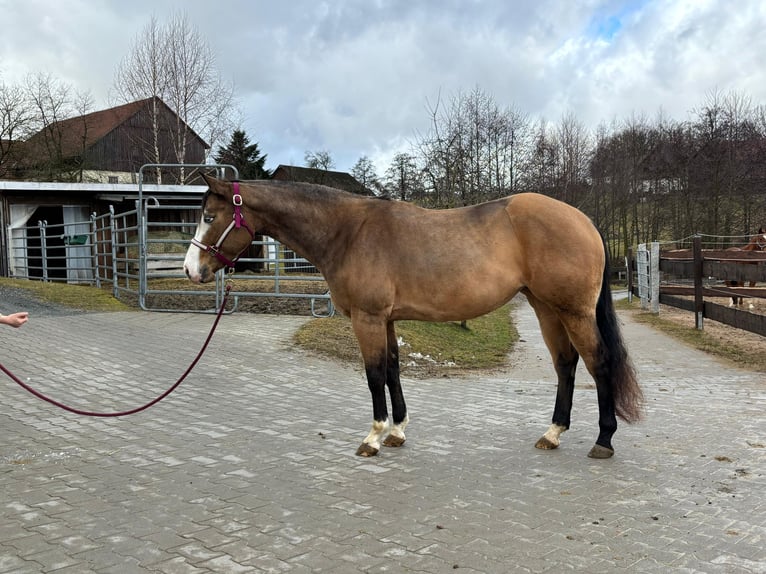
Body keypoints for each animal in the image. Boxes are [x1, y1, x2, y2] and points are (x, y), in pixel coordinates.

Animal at [184, 175, 643, 459]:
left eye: (209, 216)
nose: (191, 270)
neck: (348, 232)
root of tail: (583, 219)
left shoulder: (367, 318)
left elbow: (373, 375)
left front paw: (372, 437)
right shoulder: (385, 320)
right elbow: (392, 369)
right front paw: (397, 432)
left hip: (573, 311)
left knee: (599, 363)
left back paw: (603, 439)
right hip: (545, 308)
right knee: (566, 365)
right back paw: (552, 432)